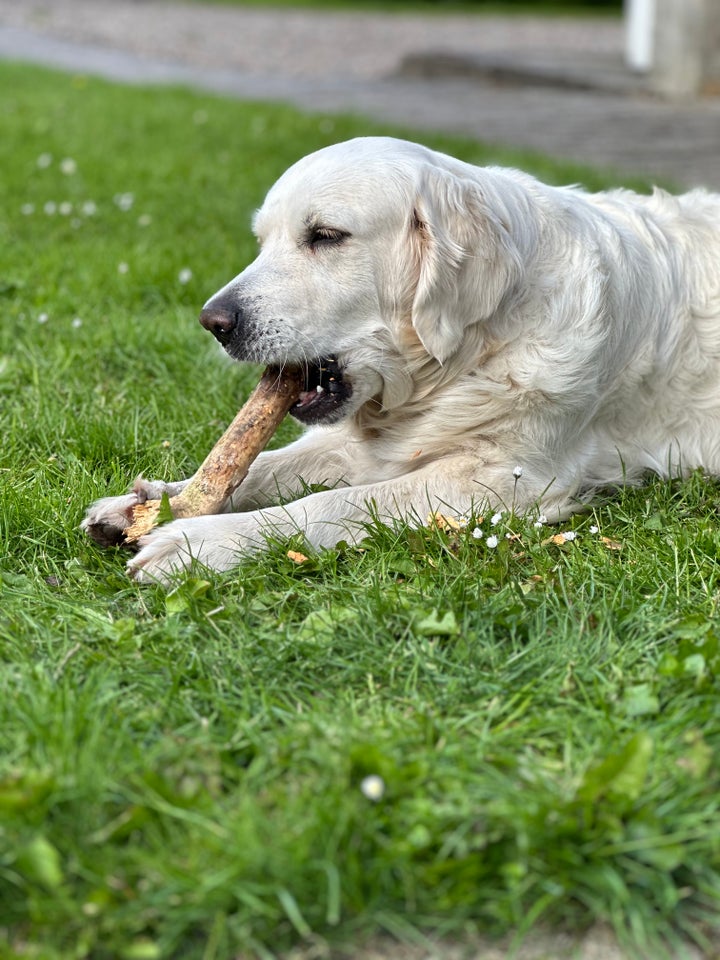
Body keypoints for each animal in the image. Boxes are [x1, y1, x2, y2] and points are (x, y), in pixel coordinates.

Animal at [81, 138, 720, 580]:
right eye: (263, 242)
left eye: (325, 235)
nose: (213, 322)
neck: (470, 354)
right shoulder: (352, 442)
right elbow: (263, 466)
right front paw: (147, 504)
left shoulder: (505, 478)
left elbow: (329, 503)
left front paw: (200, 541)